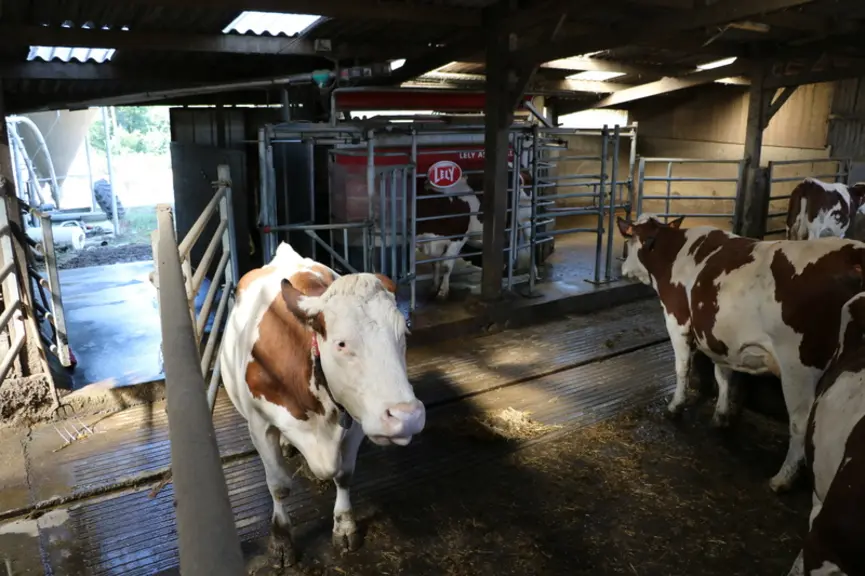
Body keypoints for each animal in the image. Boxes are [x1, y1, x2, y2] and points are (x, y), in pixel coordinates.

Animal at [219, 242, 425, 568]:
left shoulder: (357, 421)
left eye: (404, 333)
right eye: (341, 343)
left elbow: (344, 474)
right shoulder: (260, 425)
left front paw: (345, 525)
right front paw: (282, 540)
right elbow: (279, 485)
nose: (408, 417)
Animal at [415, 171, 534, 301]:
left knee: (529, 243)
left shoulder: (458, 239)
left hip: (525, 220)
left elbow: (447, 266)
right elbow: (435, 264)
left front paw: (443, 291)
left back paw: (532, 275)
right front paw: (434, 286)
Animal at [616, 213, 865, 492]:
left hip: (799, 367)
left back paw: (782, 479)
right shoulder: (719, 335)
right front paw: (721, 416)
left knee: (800, 423)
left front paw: (675, 406)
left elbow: (682, 368)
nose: (624, 269)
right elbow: (723, 375)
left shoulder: (676, 320)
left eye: (628, 239)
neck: (671, 249)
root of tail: (853, 254)